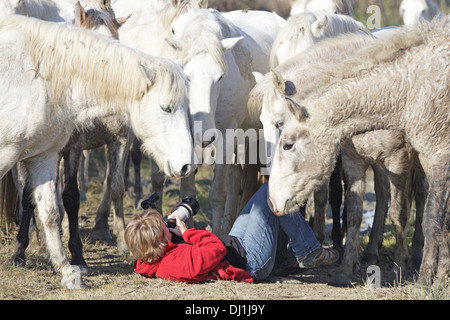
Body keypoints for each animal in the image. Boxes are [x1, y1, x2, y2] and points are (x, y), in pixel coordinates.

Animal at [0, 16, 194, 288]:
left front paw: (67, 271)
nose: (186, 165)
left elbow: (50, 213)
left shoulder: (43, 157)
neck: (37, 76)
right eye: (165, 108)